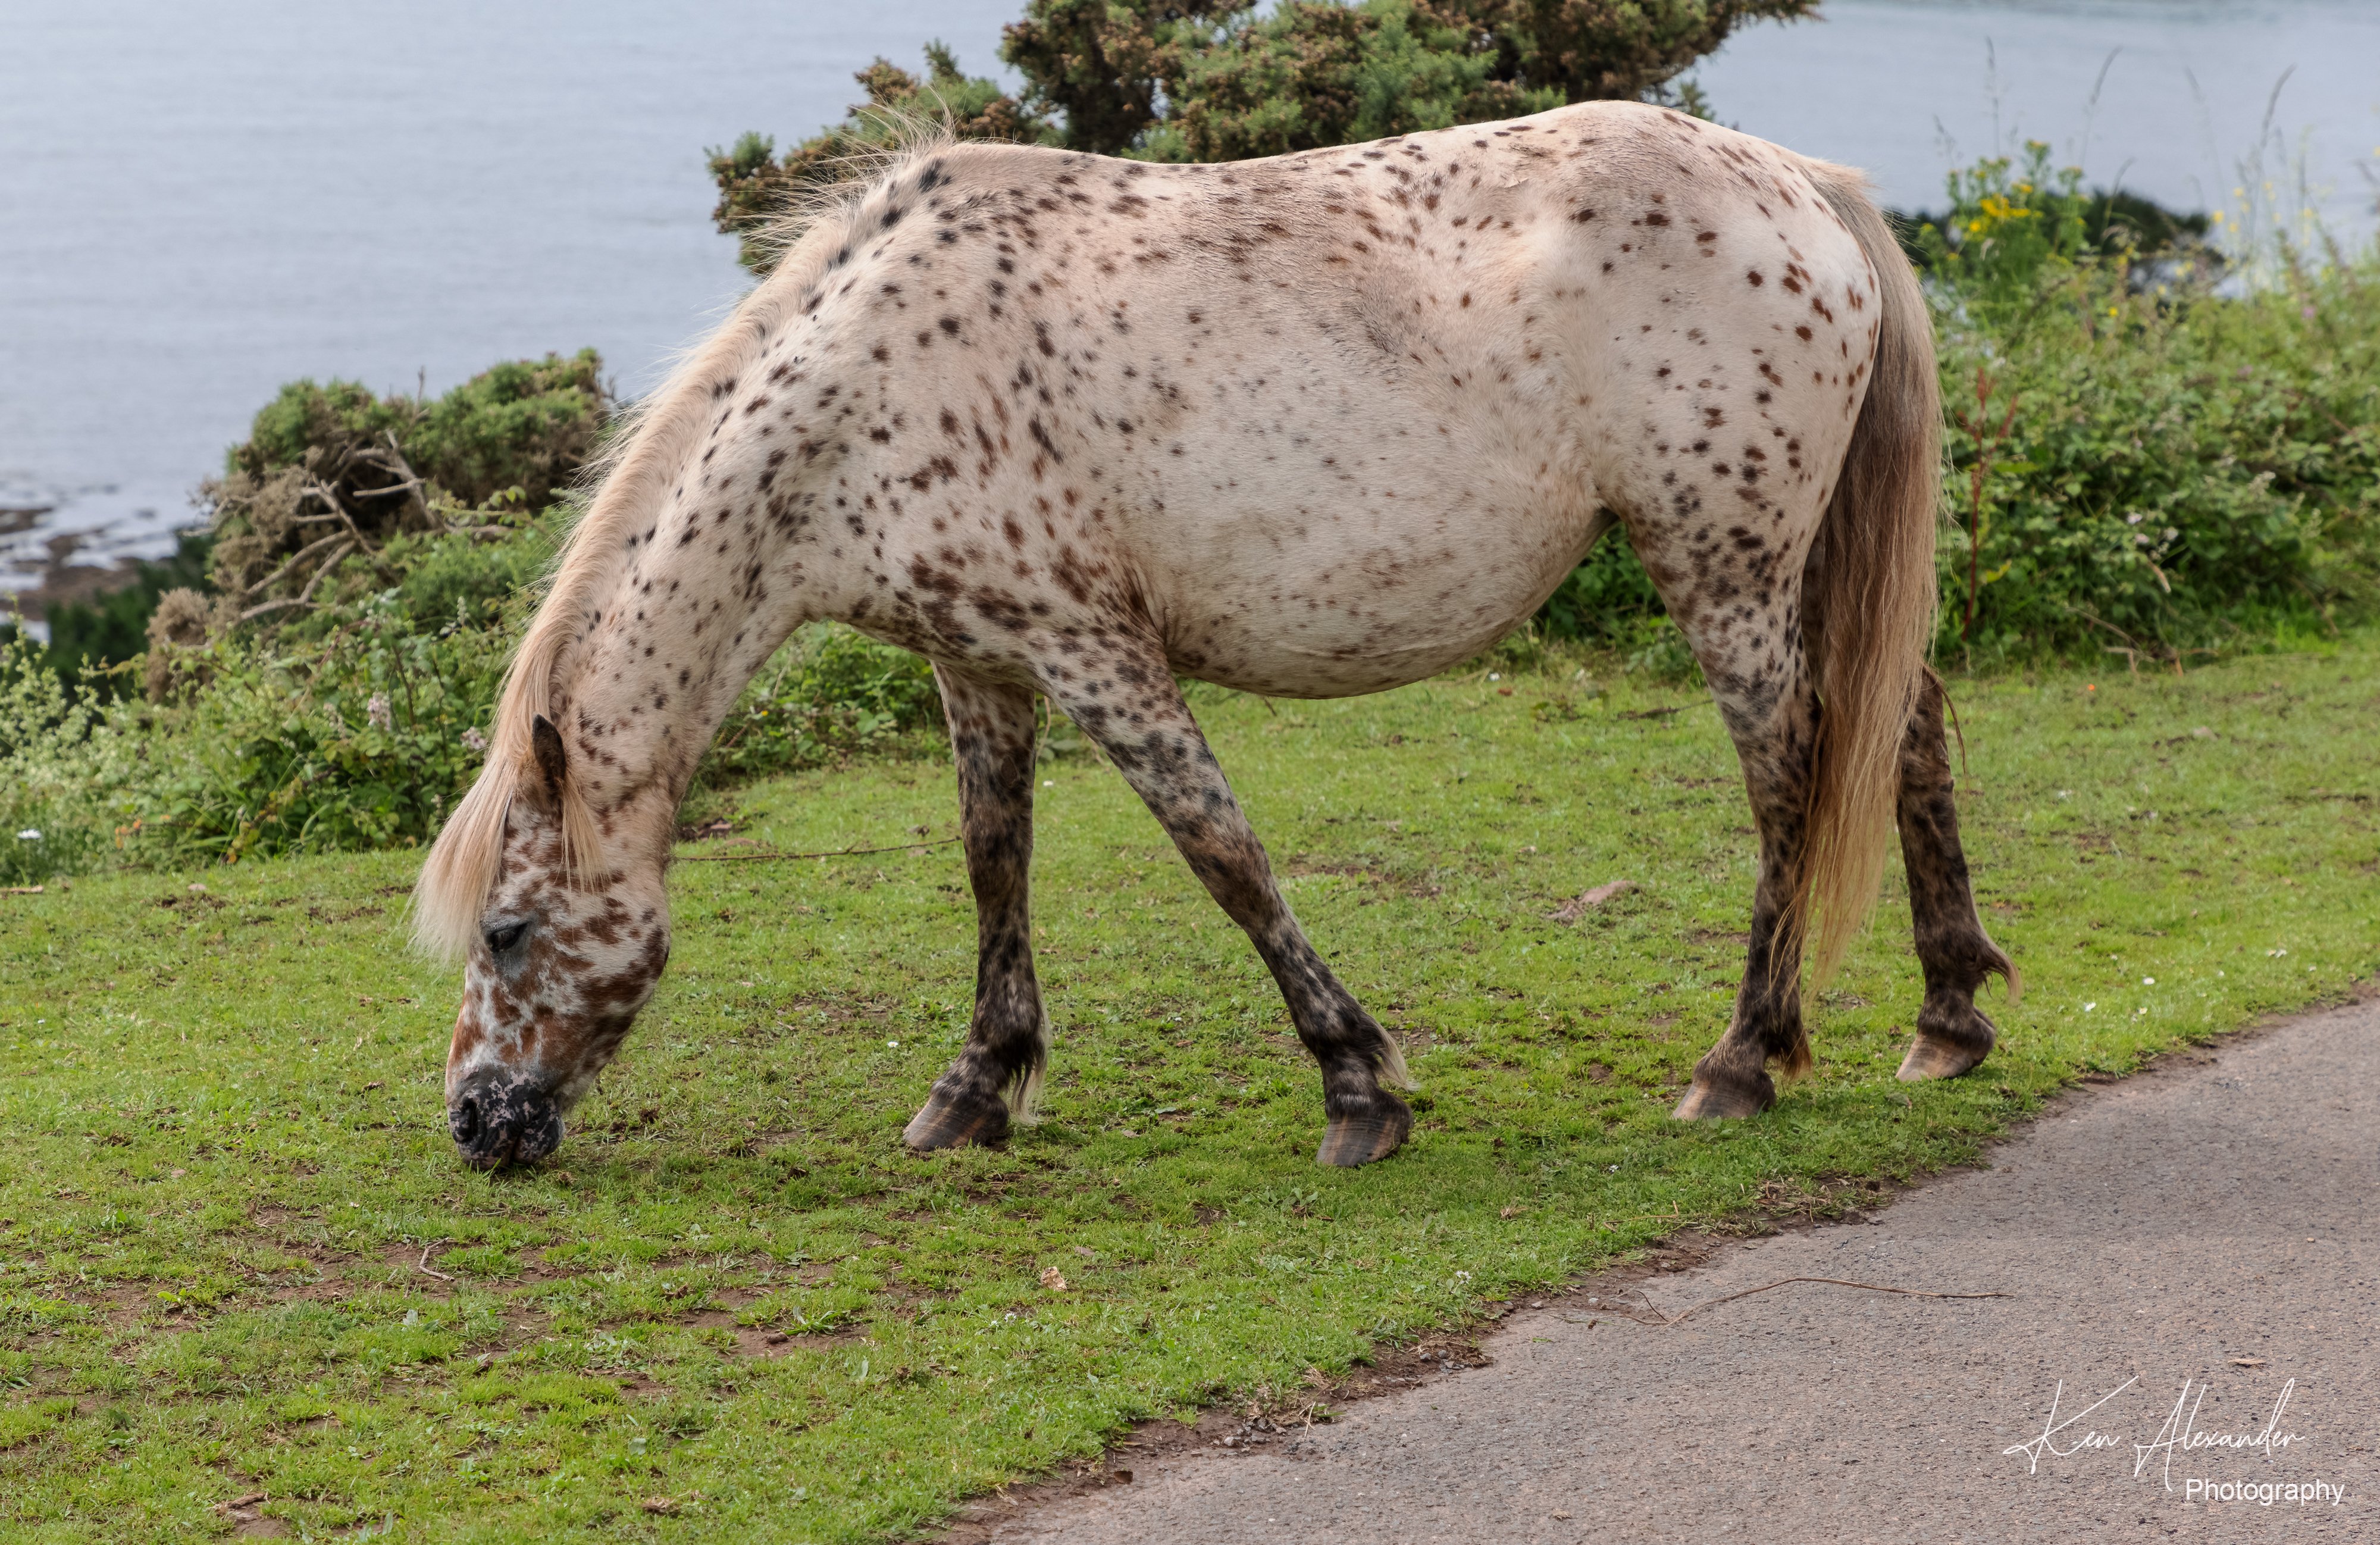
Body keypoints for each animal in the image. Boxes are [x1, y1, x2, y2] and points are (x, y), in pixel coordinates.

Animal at [409, 102, 2009, 1171]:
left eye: (506, 927)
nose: (478, 1122)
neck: (862, 387)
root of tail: (1802, 186)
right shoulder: (977, 661)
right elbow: (992, 858)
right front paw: (975, 1086)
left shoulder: (1092, 648)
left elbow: (1219, 850)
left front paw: (1359, 1088)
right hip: (1798, 566)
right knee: (1907, 726)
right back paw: (1946, 1020)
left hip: (1721, 567)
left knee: (1788, 774)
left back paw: (1740, 1059)